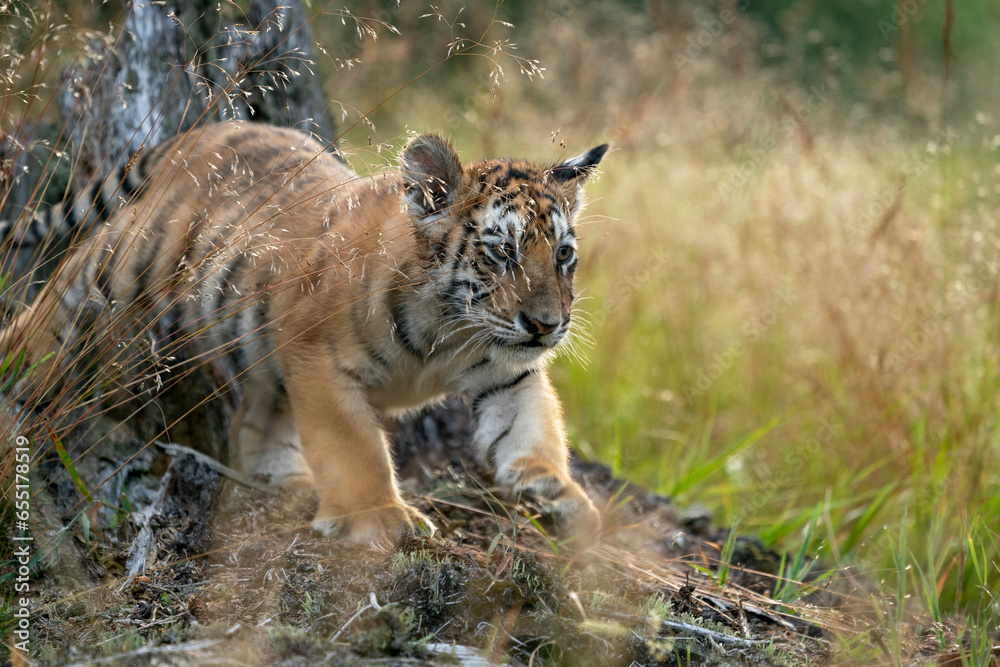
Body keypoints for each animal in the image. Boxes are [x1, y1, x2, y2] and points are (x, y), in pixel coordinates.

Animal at [0, 121, 608, 546]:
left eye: (562, 255)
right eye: (502, 253)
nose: (546, 326)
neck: (449, 330)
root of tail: (209, 127)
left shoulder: (507, 372)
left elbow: (532, 431)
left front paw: (563, 501)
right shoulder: (319, 358)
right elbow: (355, 448)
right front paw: (382, 518)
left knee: (254, 418)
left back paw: (283, 481)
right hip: (118, 266)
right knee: (52, 309)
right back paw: (19, 371)